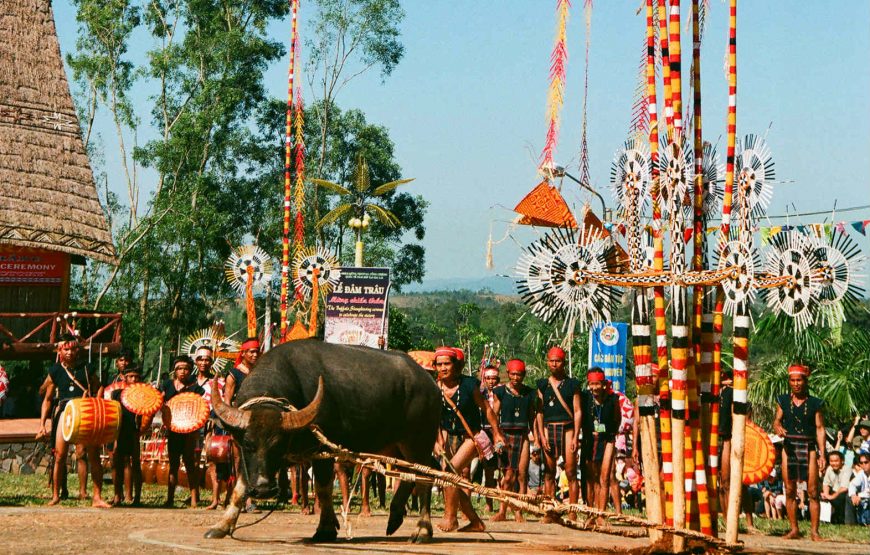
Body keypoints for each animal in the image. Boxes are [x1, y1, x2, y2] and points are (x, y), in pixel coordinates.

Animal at [206, 338, 442, 544]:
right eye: (248, 444)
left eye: (279, 445)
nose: (264, 490)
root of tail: (430, 383)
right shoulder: (247, 459)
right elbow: (240, 488)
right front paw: (221, 526)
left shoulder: (322, 451)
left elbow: (322, 488)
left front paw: (325, 530)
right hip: (396, 447)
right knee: (412, 474)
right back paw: (395, 517)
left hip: (418, 441)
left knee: (424, 478)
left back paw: (422, 531)